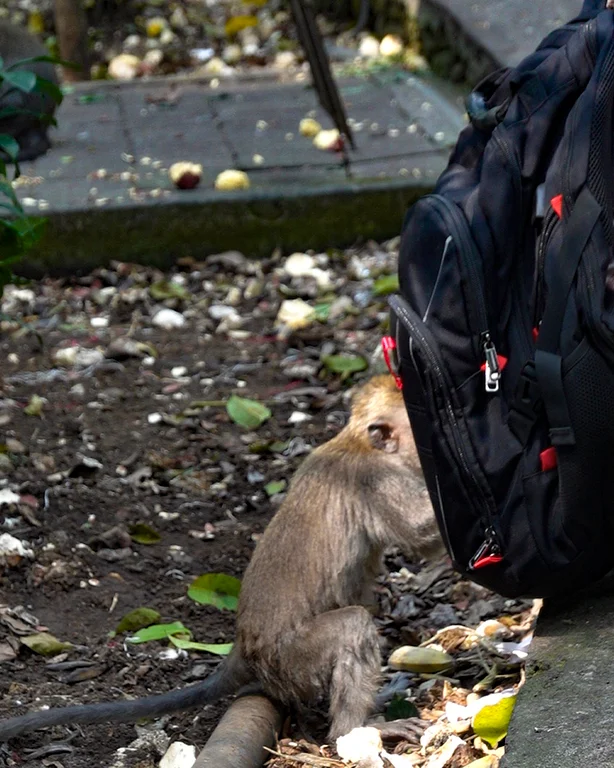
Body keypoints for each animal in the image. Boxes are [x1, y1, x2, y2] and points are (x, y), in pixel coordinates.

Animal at [0, 374, 443, 744]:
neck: (355, 441)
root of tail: (243, 649)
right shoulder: (376, 478)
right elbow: (423, 534)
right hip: (291, 659)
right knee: (352, 627)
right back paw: (355, 730)